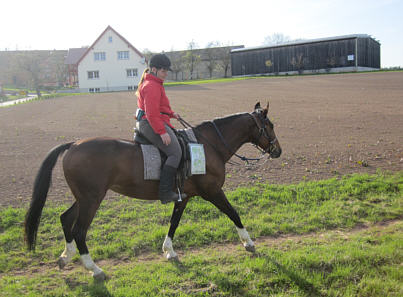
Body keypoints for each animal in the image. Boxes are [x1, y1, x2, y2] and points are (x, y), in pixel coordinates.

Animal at [24, 102, 280, 280]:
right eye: (269, 126)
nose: (278, 151)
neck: (207, 145)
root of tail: (74, 144)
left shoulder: (184, 196)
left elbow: (174, 222)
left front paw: (169, 251)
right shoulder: (213, 191)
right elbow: (233, 213)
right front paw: (248, 242)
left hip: (84, 198)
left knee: (65, 219)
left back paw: (65, 257)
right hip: (91, 199)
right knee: (79, 230)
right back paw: (94, 269)